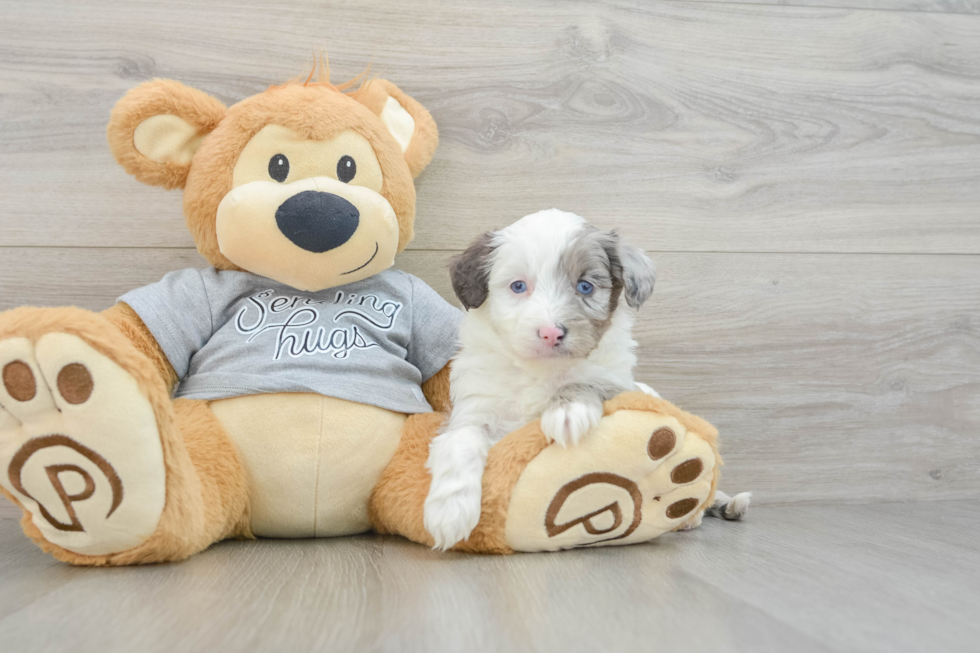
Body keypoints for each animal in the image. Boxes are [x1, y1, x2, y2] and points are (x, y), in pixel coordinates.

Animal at [424, 209, 660, 552]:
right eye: (518, 286)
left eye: (585, 286)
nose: (551, 333)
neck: (540, 370)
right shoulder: (472, 409)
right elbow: (462, 441)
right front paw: (449, 512)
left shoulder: (620, 383)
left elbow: (588, 381)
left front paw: (567, 411)